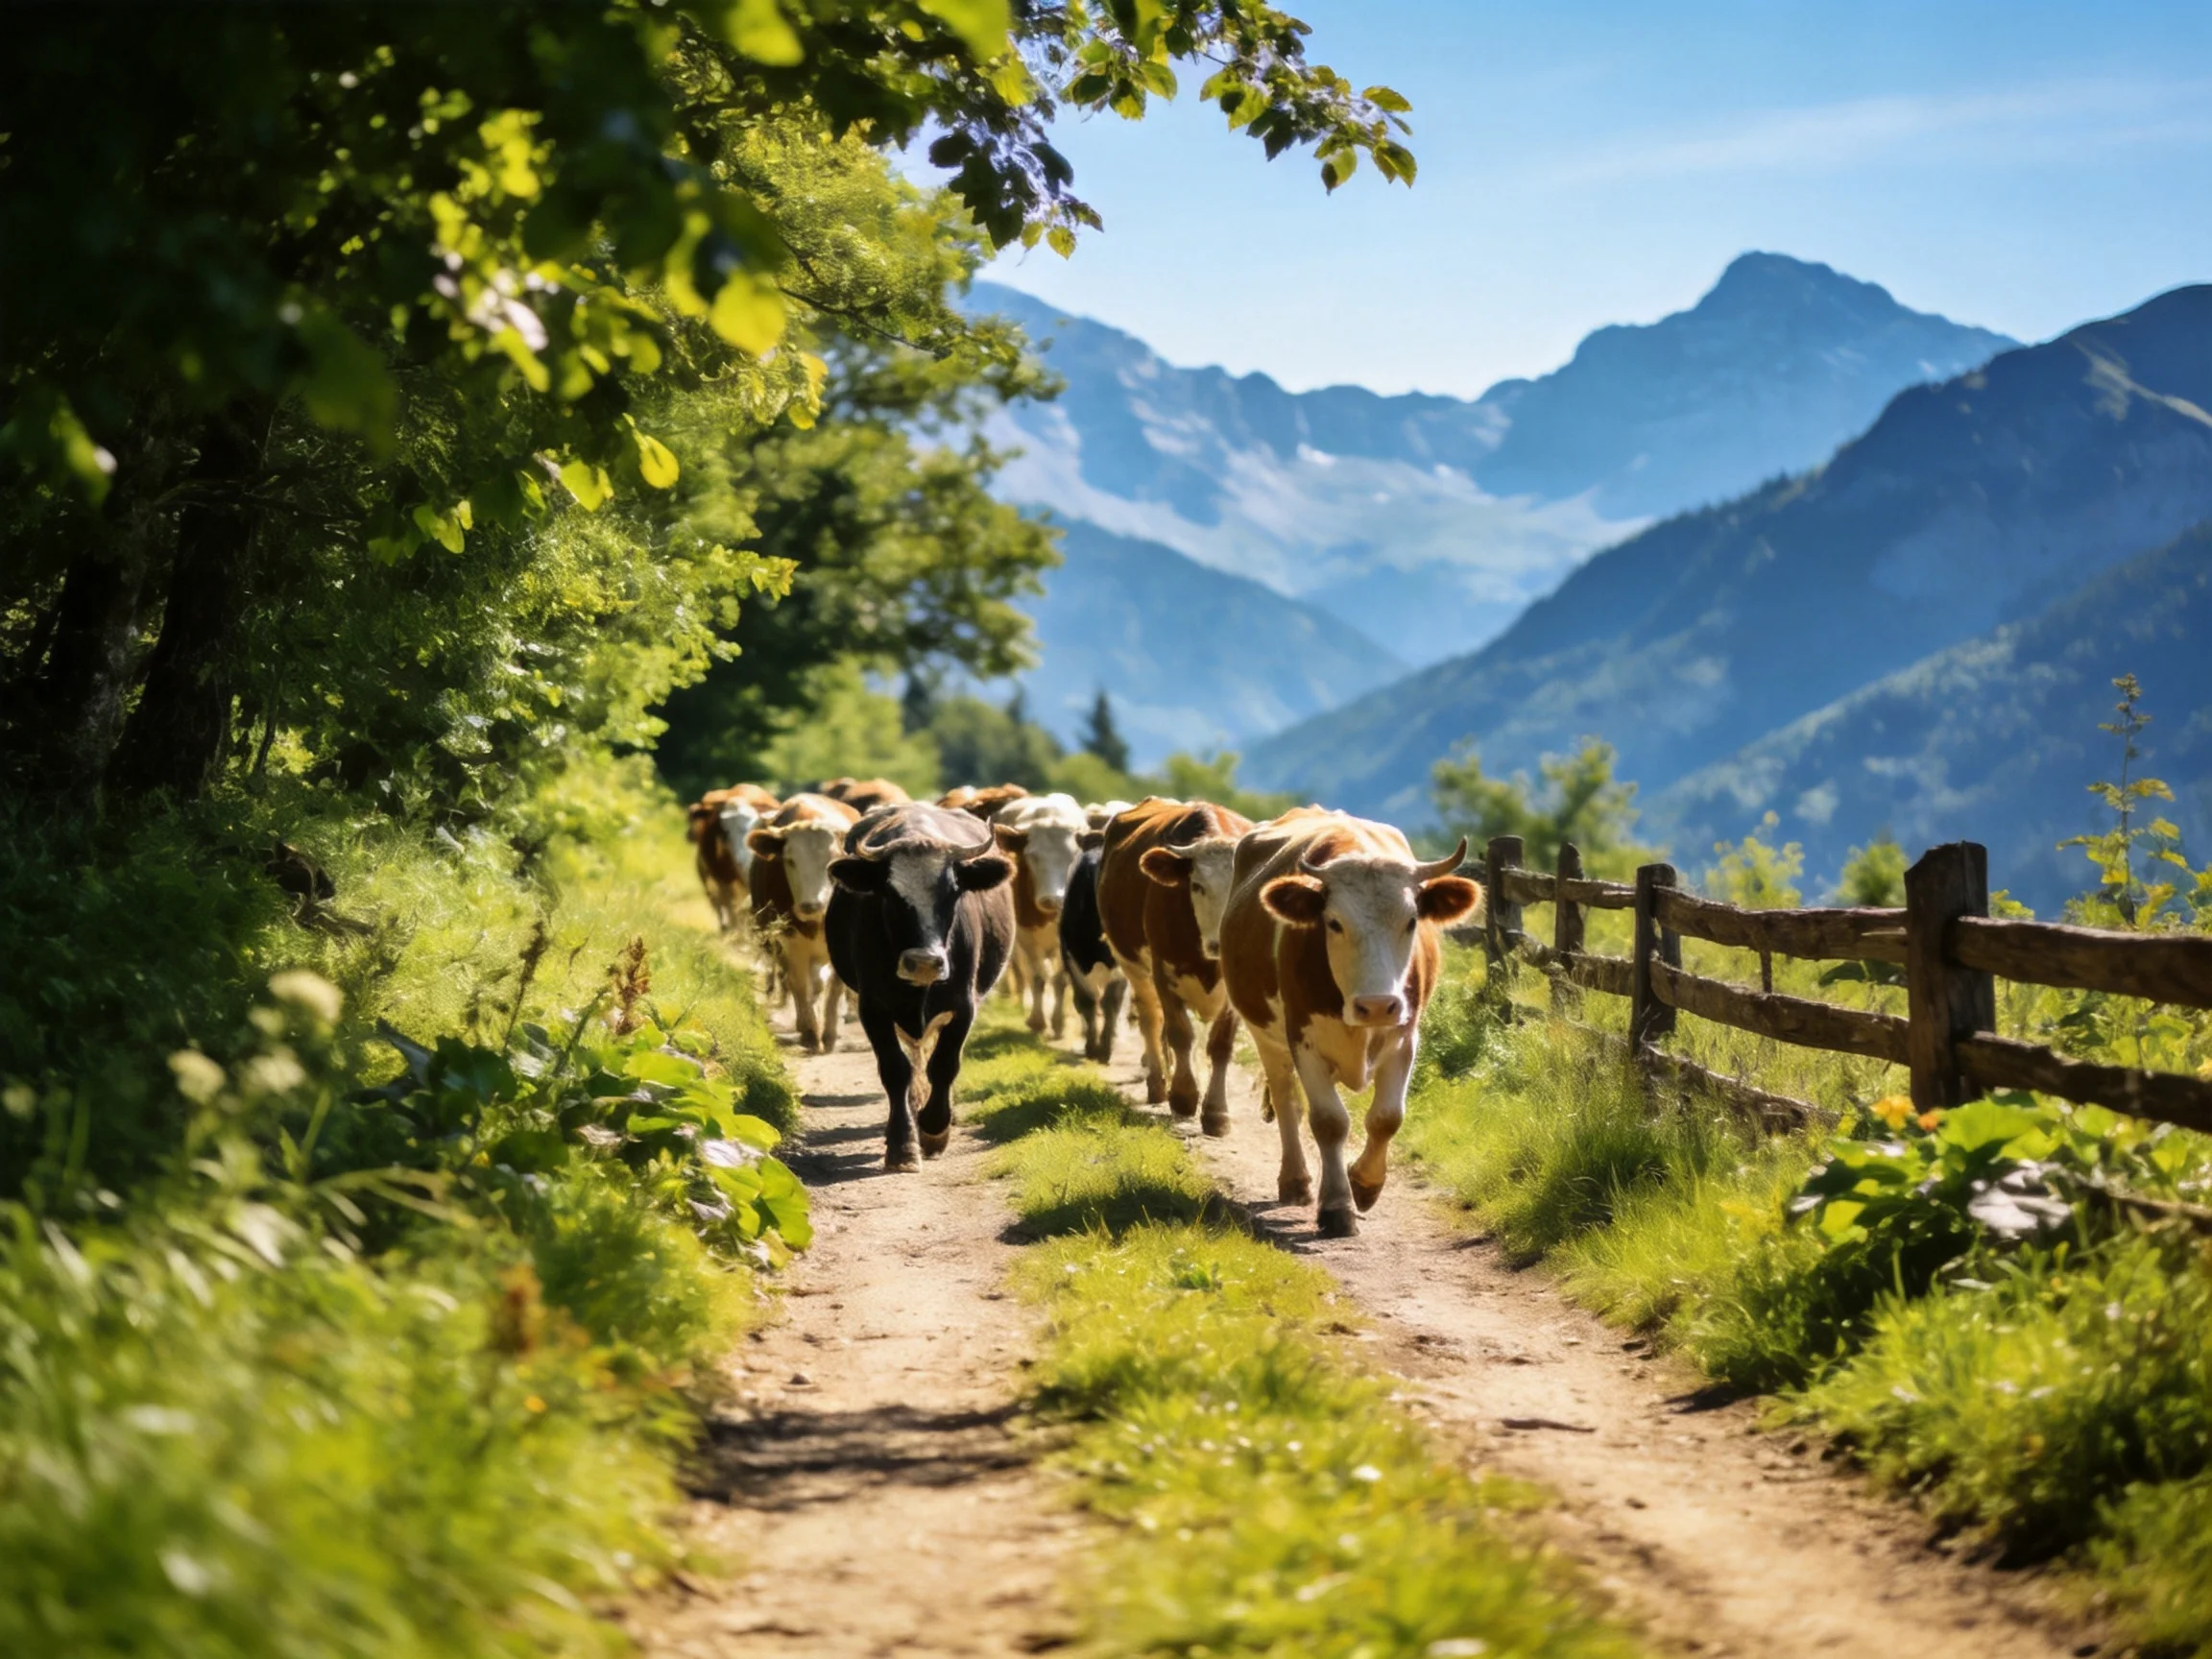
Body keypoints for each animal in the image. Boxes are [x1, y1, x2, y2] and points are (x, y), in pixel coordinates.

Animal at [745, 793, 862, 1051]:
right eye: (790, 860)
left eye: (834, 861)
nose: (811, 905)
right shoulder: (790, 939)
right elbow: (799, 983)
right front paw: (810, 1032)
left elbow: (834, 988)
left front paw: (829, 1033)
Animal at [825, 803, 1016, 1170]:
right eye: (890, 893)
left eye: (953, 891)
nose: (925, 961)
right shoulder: (873, 1007)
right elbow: (895, 1069)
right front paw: (903, 1144)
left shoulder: (963, 1005)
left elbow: (944, 1065)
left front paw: (934, 1128)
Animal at [991, 792, 1088, 1037]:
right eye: (1032, 856)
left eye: (1072, 856)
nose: (1052, 899)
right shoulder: (1024, 937)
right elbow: (1037, 977)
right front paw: (1038, 1020)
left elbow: (1061, 979)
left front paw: (1059, 1022)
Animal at [1095, 795, 1254, 1135]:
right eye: (1197, 886)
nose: (1219, 944)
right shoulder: (1163, 973)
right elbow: (1180, 1033)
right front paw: (1183, 1097)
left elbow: (1220, 1045)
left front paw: (1216, 1113)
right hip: (1133, 966)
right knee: (1151, 1020)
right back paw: (1157, 1085)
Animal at [1220, 809, 1481, 1237]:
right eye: (1334, 922)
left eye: (1412, 921)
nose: (1376, 1006)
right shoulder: (1303, 1039)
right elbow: (1329, 1121)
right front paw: (1337, 1207)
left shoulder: (1405, 1037)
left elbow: (1387, 1118)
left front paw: (1364, 1183)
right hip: (1266, 1036)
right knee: (1286, 1099)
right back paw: (1295, 1181)